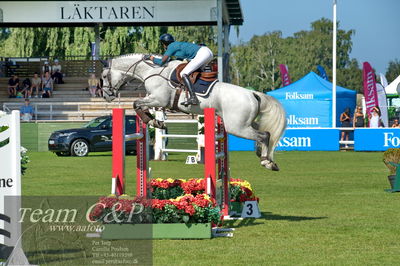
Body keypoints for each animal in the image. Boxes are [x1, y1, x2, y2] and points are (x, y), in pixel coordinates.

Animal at [101, 53, 286, 170]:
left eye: (103, 76)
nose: (106, 95)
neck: (152, 71)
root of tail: (252, 94)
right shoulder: (155, 101)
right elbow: (141, 106)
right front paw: (155, 121)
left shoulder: (159, 99)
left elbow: (136, 103)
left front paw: (152, 121)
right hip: (246, 124)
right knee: (263, 133)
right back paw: (265, 157)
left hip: (237, 127)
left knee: (264, 135)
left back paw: (266, 162)